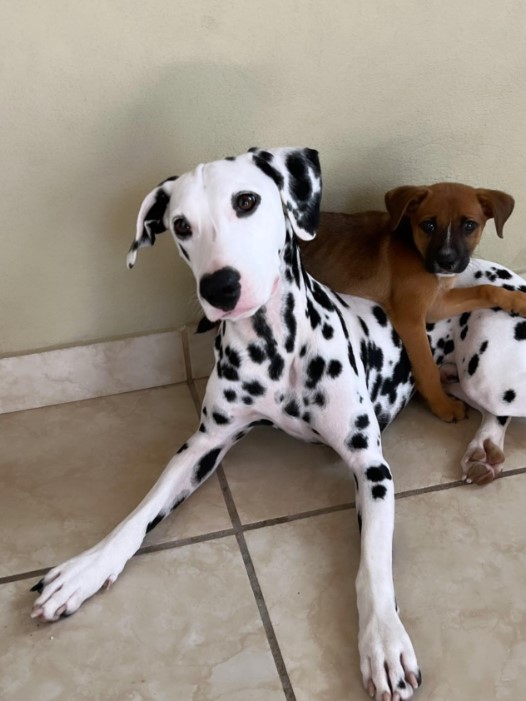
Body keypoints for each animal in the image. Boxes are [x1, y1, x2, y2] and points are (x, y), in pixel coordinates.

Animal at [302, 182, 524, 422]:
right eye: (428, 225)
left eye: (469, 226)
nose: (446, 262)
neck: (415, 249)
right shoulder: (412, 318)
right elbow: (427, 368)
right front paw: (443, 405)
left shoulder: (436, 304)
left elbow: (485, 289)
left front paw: (518, 300)